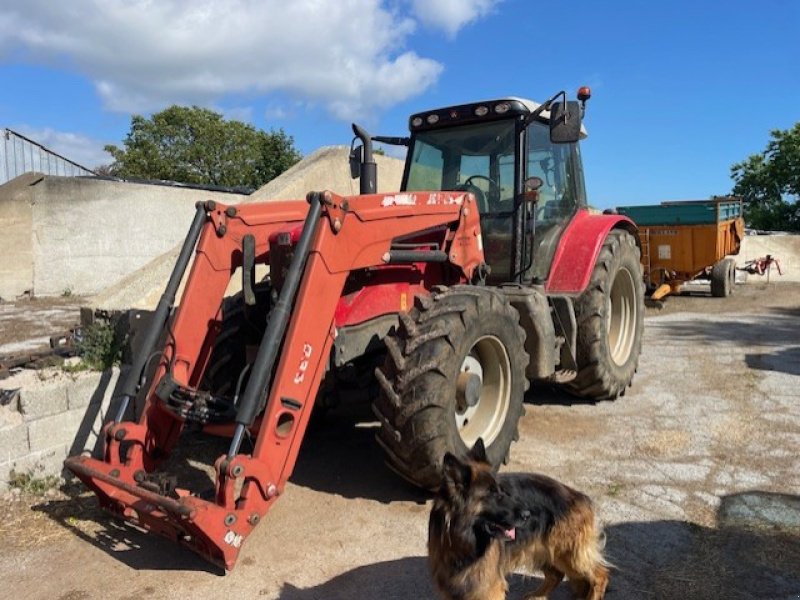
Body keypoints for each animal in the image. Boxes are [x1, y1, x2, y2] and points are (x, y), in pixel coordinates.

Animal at [428, 438, 608, 596]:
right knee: (558, 575)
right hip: (541, 549)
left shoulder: (490, 588)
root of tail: (578, 495)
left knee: (599, 576)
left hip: (567, 554)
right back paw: (536, 596)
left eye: (502, 490)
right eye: (493, 495)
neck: (461, 540)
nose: (528, 514)